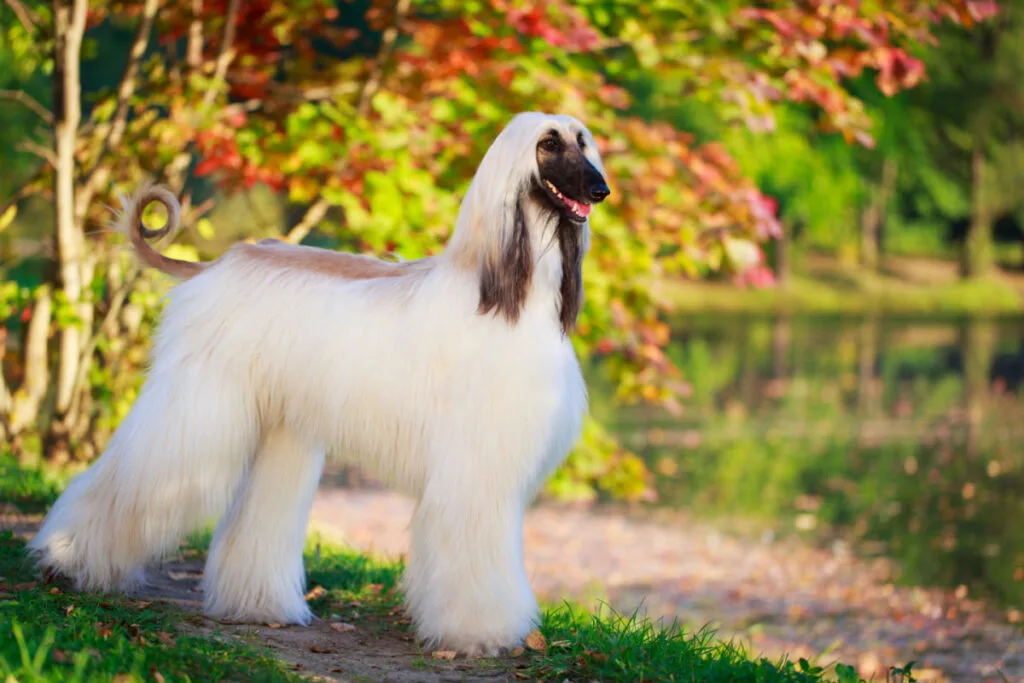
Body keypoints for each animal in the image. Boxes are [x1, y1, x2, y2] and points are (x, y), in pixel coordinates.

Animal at [25, 112, 606, 655]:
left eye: (583, 142)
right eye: (548, 144)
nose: (601, 189)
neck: (513, 292)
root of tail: (216, 264)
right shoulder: (475, 465)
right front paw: (482, 633)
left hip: (281, 425)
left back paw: (257, 606)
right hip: (199, 404)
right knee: (134, 477)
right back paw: (67, 559)